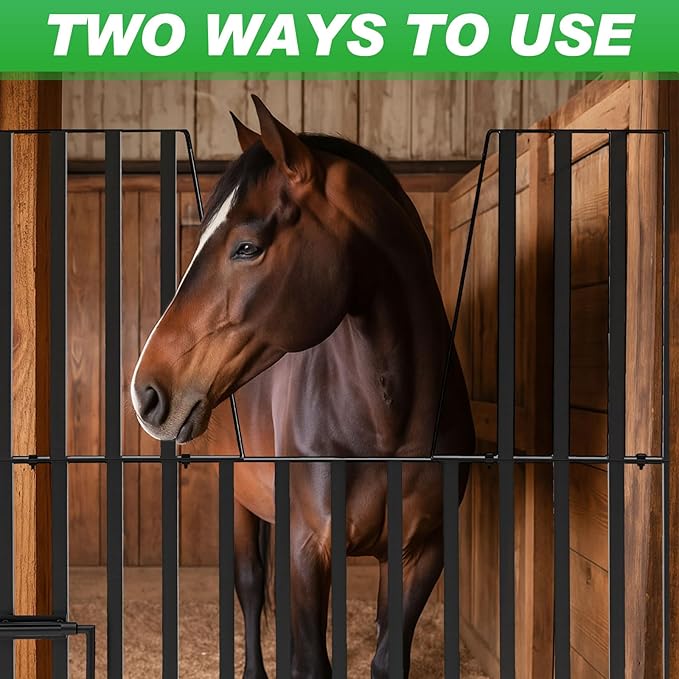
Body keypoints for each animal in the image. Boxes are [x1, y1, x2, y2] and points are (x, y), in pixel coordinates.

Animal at [131, 95, 475, 678]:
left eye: (247, 247)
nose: (146, 393)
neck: (388, 421)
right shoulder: (306, 548)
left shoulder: (422, 553)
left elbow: (386, 656)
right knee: (250, 585)